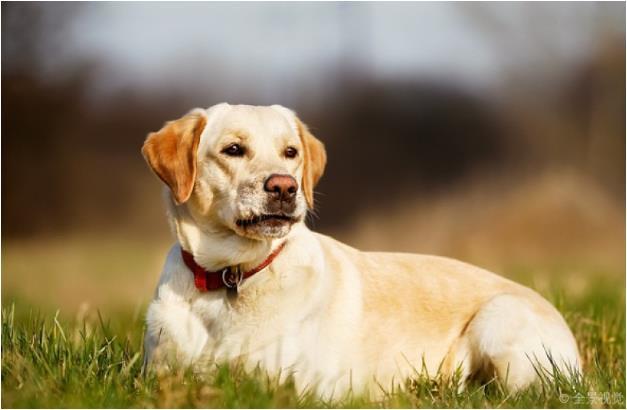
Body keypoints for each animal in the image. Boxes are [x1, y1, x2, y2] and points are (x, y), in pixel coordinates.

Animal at [141, 102, 580, 398]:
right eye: (233, 149)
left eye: (290, 152)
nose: (285, 187)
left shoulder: (294, 385)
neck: (230, 274)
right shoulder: (159, 374)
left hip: (499, 321)